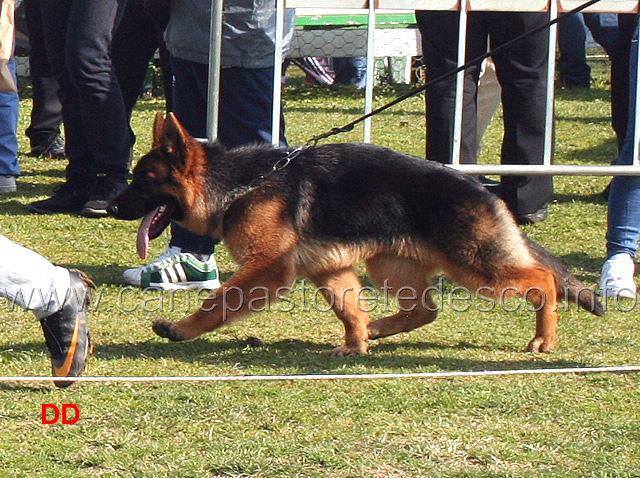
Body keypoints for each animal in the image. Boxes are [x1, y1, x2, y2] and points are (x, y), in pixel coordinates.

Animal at [107, 113, 604, 354]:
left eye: (143, 182)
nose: (110, 207)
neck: (239, 184)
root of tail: (481, 188)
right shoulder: (329, 269)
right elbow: (347, 309)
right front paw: (356, 343)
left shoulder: (267, 271)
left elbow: (218, 302)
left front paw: (181, 329)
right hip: (389, 267)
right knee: (425, 309)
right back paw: (378, 329)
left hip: (476, 269)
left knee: (542, 280)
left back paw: (543, 339)